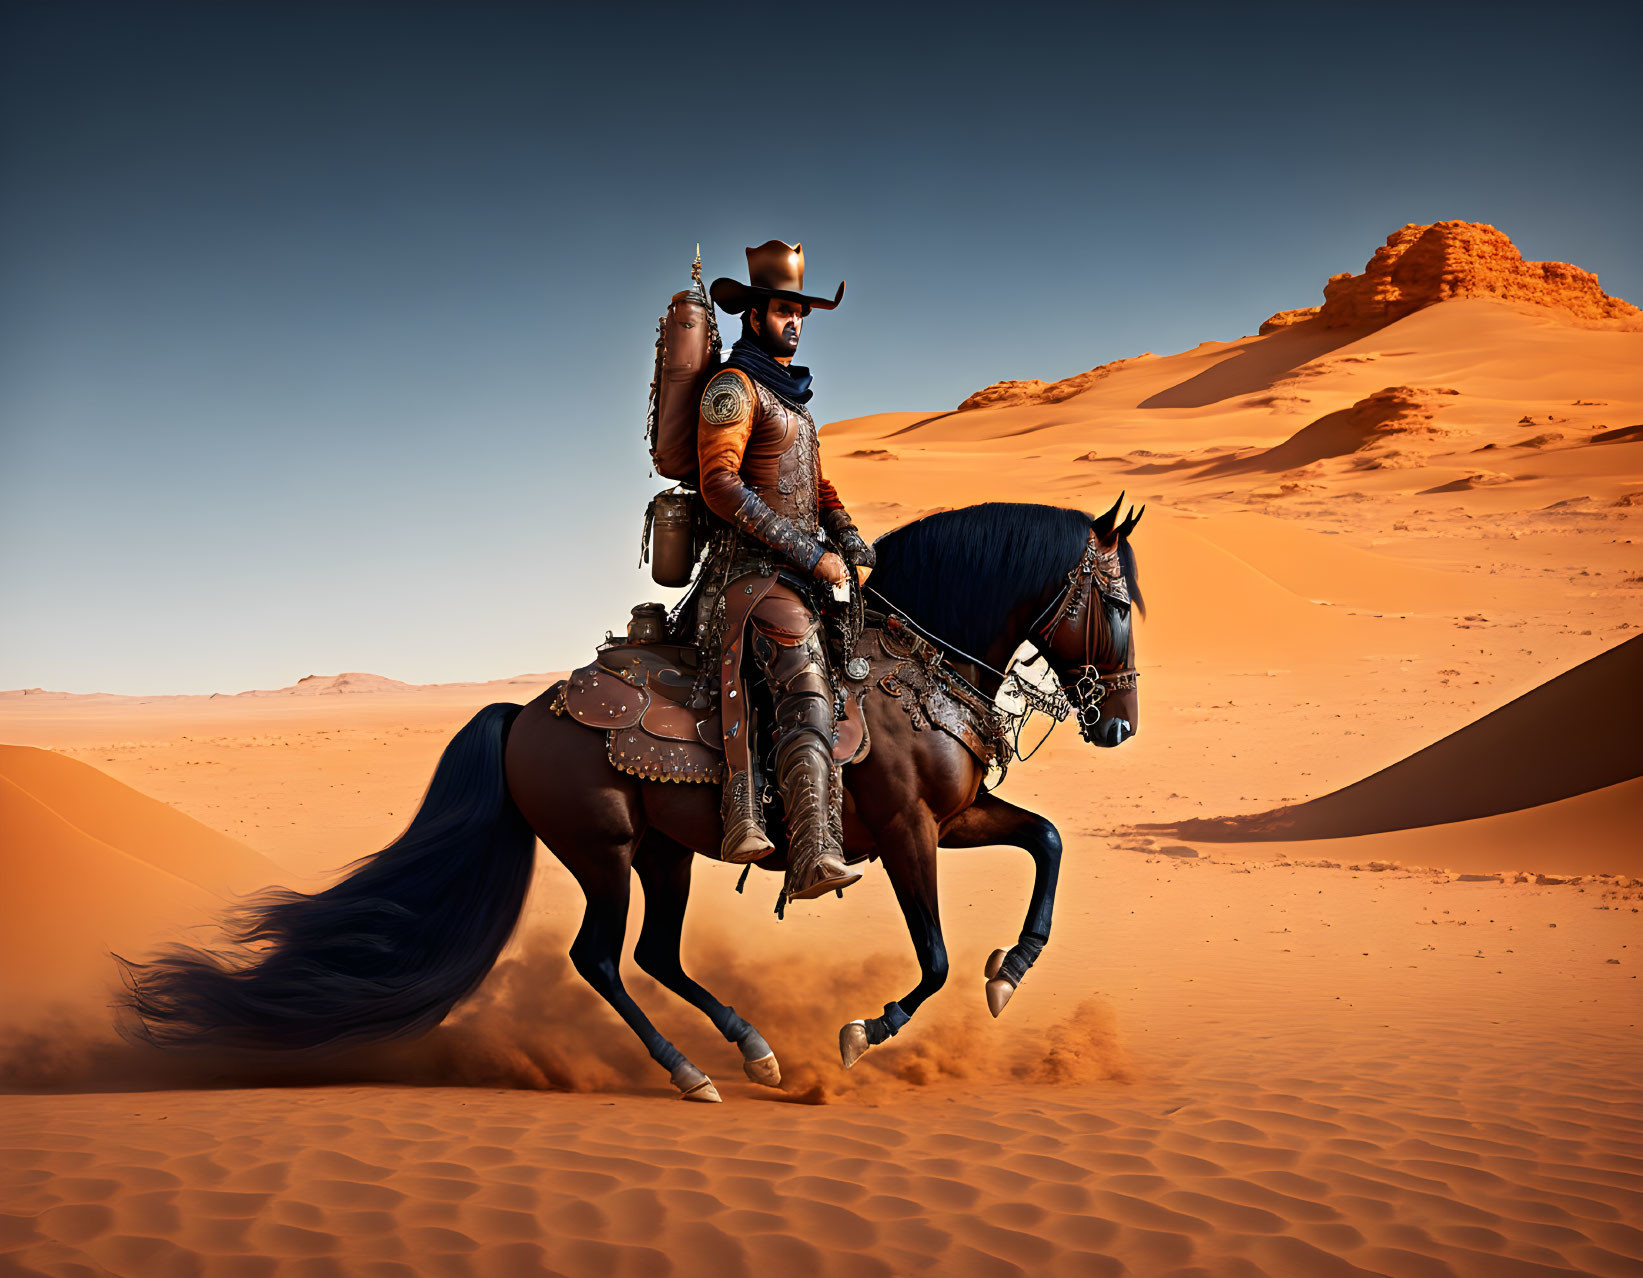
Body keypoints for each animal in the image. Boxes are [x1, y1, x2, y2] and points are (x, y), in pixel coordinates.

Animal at [119, 499, 1143, 1097]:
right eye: (1118, 604)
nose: (1119, 726)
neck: (915, 660)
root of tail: (522, 716)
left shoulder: (954, 818)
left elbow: (1048, 841)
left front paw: (1011, 972)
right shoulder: (903, 830)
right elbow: (931, 959)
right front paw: (864, 1031)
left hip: (665, 851)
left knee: (654, 952)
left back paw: (751, 1049)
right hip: (602, 851)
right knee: (601, 958)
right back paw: (693, 1070)